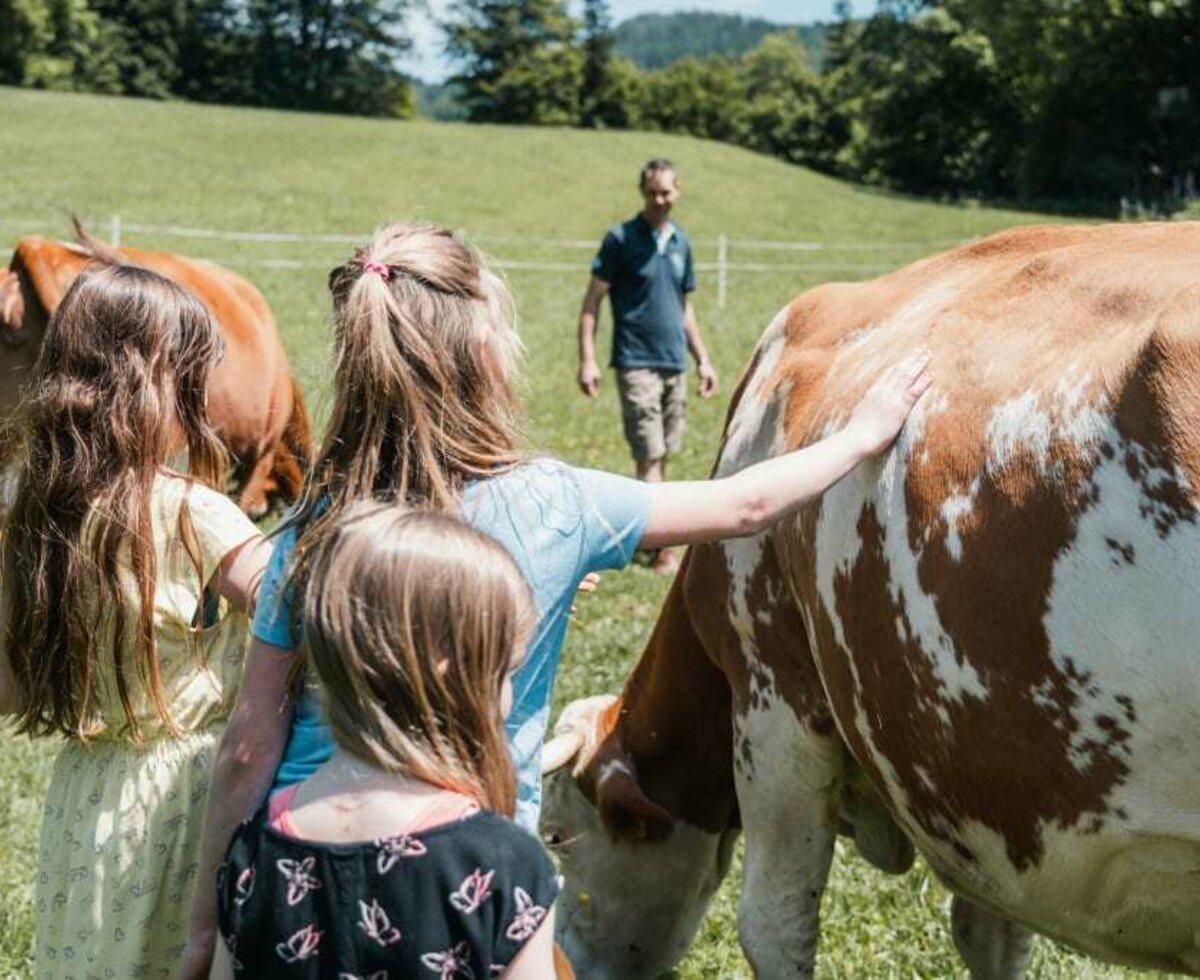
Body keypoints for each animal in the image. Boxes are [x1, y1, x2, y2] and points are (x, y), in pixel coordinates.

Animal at [549, 223, 1200, 978]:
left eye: (557, 835)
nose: (556, 960)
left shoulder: (773, 698)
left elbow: (773, 925)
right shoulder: (986, 790)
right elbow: (993, 936)